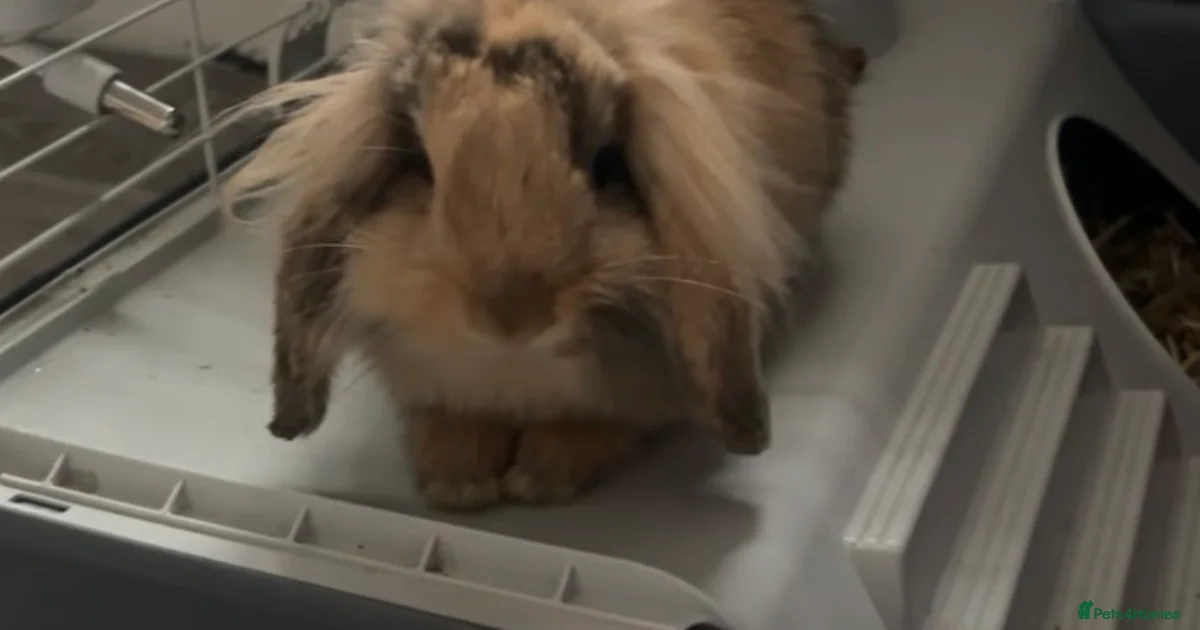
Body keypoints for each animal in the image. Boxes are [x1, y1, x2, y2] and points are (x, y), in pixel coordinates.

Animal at [226, 0, 862, 511]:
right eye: (420, 165)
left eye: (605, 164)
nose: (511, 317)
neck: (512, 372)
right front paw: (458, 482)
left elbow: (601, 426)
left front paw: (541, 478)